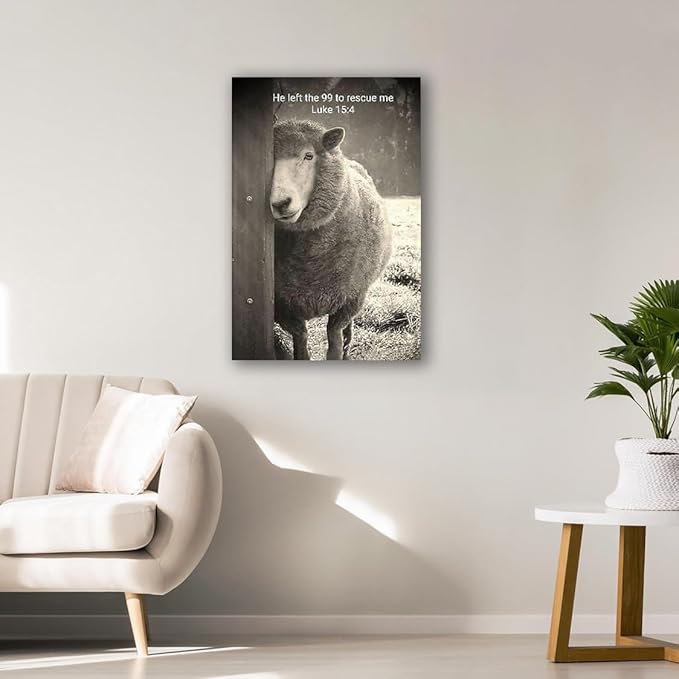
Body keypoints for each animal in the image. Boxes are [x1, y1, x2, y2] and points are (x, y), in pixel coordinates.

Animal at [270, 119, 392, 360]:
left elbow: (334, 339)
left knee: (347, 332)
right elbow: (300, 338)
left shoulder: (351, 298)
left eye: (309, 156)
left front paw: (339, 353)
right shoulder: (281, 304)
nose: (280, 203)